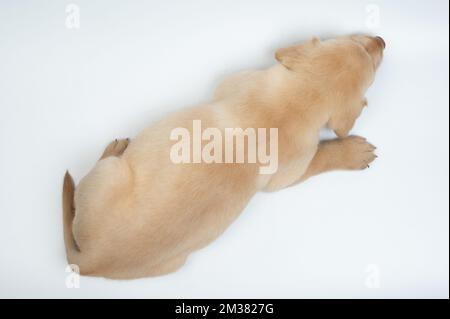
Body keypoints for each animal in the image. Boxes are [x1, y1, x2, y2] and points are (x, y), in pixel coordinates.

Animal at [63, 35, 384, 280]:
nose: (382, 40)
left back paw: (114, 149)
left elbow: (323, 156)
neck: (303, 96)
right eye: (356, 42)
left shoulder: (292, 170)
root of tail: (92, 261)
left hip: (115, 180)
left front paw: (352, 151)